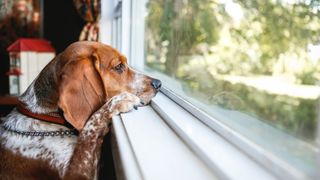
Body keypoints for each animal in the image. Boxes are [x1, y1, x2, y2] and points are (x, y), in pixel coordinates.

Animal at [0, 41, 160, 179]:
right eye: (119, 66)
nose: (158, 83)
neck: (44, 115)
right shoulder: (78, 173)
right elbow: (90, 128)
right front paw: (118, 101)